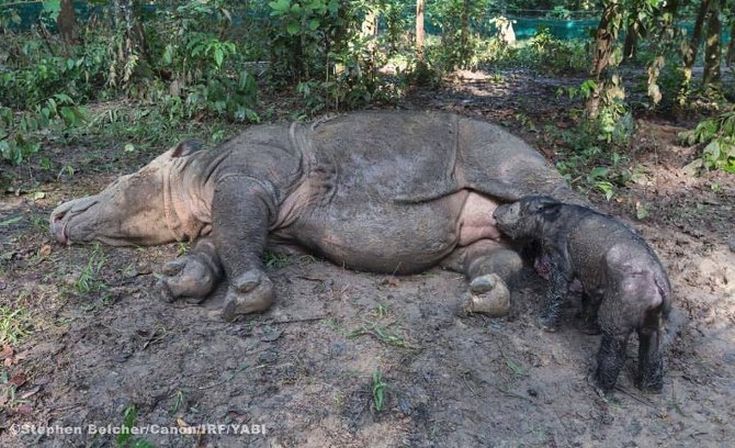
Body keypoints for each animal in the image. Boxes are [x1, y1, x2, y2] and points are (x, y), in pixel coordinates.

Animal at [49, 112, 584, 322]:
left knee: (540, 189)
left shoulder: (247, 179)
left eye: (116, 187)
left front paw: (245, 298)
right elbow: (221, 244)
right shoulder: (253, 215)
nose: (56, 217)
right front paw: (178, 282)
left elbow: (235, 239)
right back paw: (484, 295)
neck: (193, 176)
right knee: (488, 252)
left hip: (501, 152)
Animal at [494, 196, 672, 392]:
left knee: (615, 343)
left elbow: (557, 292)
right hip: (654, 318)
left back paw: (598, 384)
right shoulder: (594, 279)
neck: (549, 216)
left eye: (513, 209)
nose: (495, 212)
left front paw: (544, 324)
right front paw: (585, 326)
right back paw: (650, 388)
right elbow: (590, 299)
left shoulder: (560, 261)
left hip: (623, 305)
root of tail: (658, 281)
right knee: (653, 344)